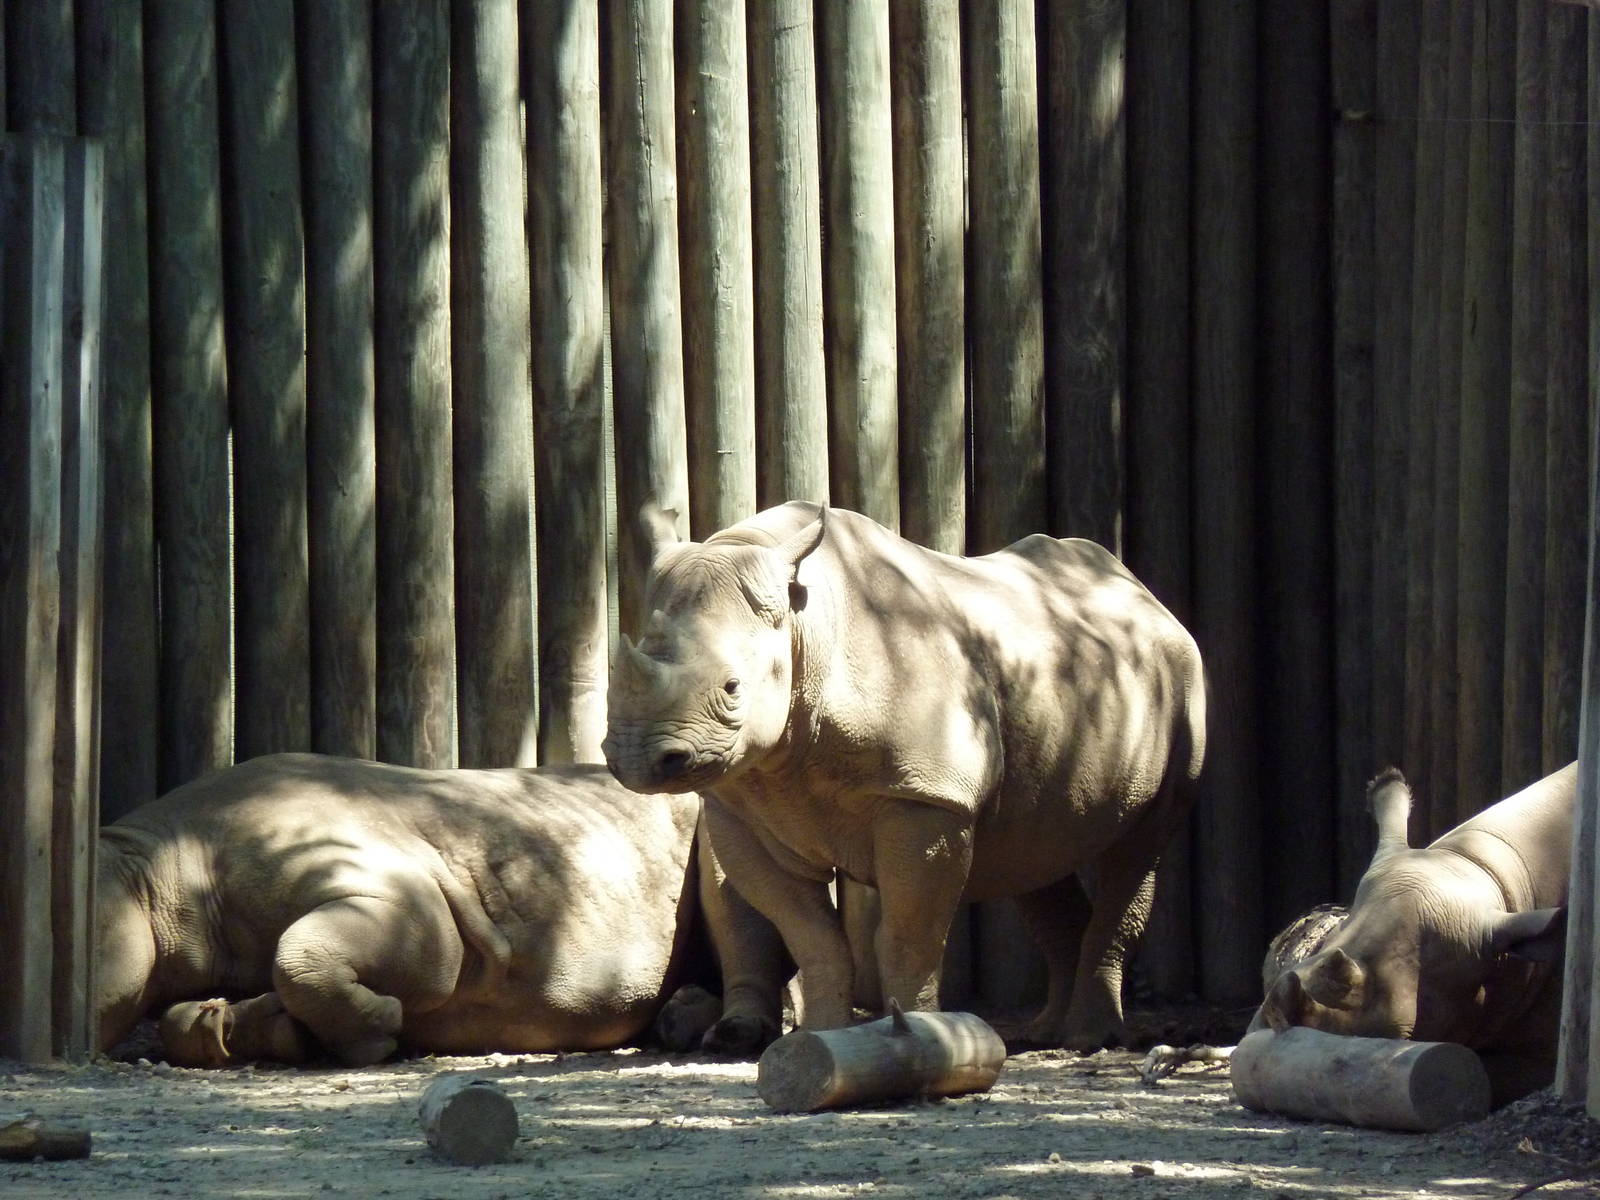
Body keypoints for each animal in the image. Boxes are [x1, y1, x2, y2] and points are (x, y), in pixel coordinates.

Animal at [95, 753, 788, 1067]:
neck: (151, 864)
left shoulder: (406, 901)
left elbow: (308, 954)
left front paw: (377, 1030)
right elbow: (180, 1019)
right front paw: (257, 1026)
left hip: (714, 802)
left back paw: (727, 1037)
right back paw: (682, 1020)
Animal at [602, 501, 1206, 1051]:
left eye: (732, 688)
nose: (637, 759)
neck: (805, 629)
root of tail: (1148, 596)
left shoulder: (928, 797)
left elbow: (906, 936)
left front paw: (923, 1037)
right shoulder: (742, 810)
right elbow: (812, 937)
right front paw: (822, 1037)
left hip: (1182, 678)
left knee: (1140, 845)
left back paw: (1088, 1040)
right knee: (1035, 848)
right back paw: (1046, 1034)